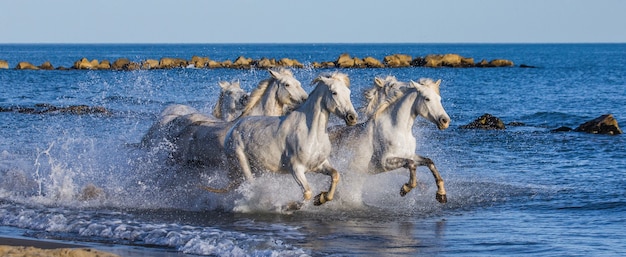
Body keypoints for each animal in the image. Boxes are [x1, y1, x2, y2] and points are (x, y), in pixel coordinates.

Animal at [210, 72, 356, 208]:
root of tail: (232, 129)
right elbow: (307, 193)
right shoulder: (296, 169)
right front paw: (288, 206)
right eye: (334, 92)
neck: (312, 133)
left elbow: (335, 175)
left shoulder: (320, 164)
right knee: (251, 185)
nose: (352, 117)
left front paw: (321, 198)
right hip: (242, 163)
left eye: (348, 92)